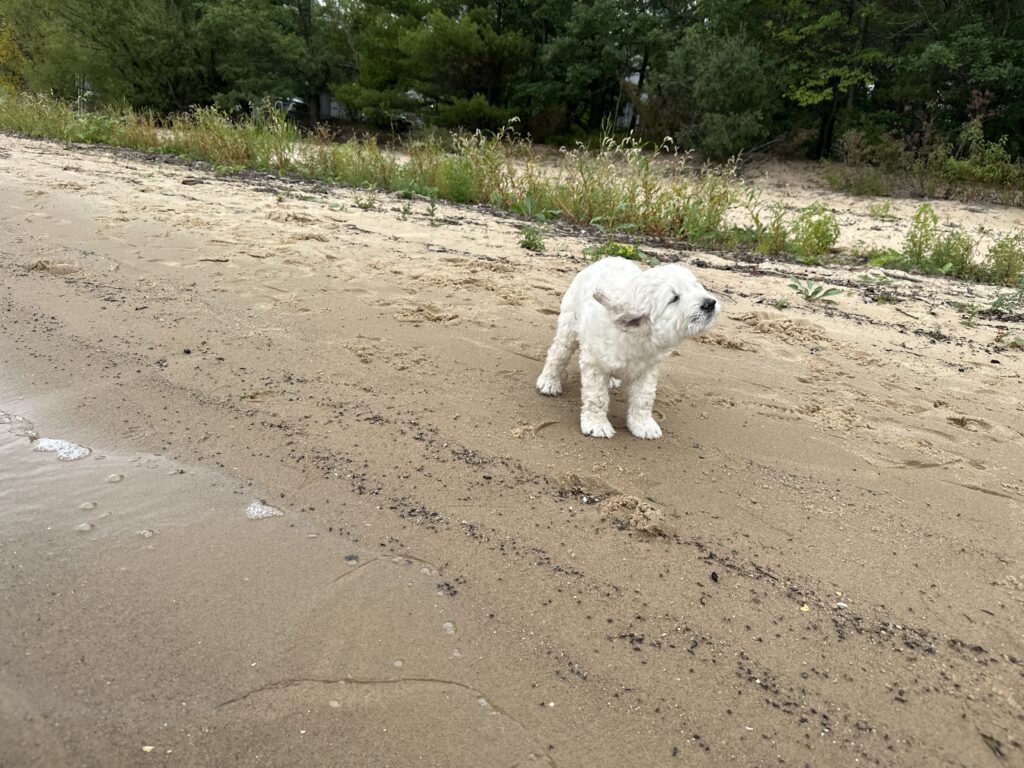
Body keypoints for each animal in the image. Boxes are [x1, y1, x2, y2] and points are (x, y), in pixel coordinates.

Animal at [536, 256, 719, 439]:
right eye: (674, 298)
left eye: (696, 286)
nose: (710, 303)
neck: (638, 336)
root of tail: (607, 258)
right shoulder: (594, 362)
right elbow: (597, 396)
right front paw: (597, 424)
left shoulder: (648, 369)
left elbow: (644, 398)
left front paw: (643, 425)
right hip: (569, 324)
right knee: (558, 354)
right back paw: (549, 382)